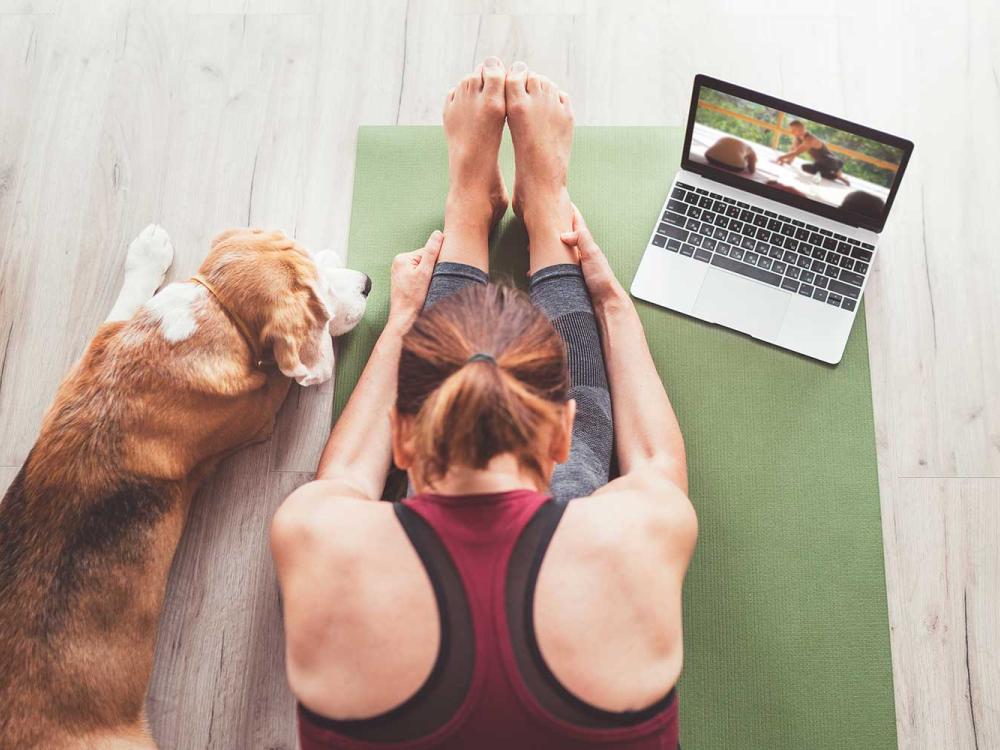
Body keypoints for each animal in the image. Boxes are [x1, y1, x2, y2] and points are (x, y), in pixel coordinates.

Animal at [0, 226, 372, 748]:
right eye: (316, 299)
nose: (368, 284)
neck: (215, 311)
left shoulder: (97, 346)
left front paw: (148, 252)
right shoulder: (259, 409)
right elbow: (282, 370)